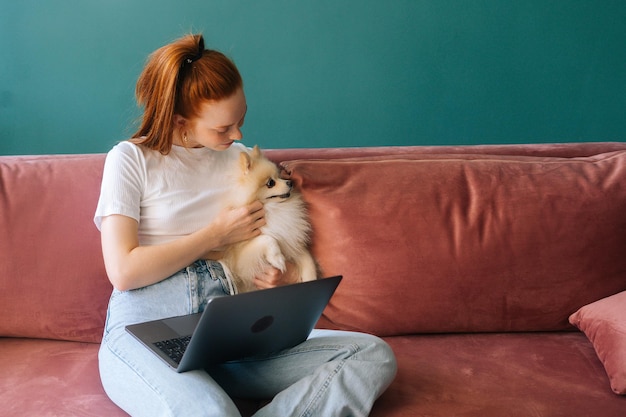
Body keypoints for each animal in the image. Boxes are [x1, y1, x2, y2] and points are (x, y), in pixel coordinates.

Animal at [219, 146, 316, 292]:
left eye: (279, 176)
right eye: (271, 183)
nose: (290, 182)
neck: (272, 210)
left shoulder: (294, 245)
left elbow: (309, 263)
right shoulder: (239, 263)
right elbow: (268, 238)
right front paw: (277, 259)